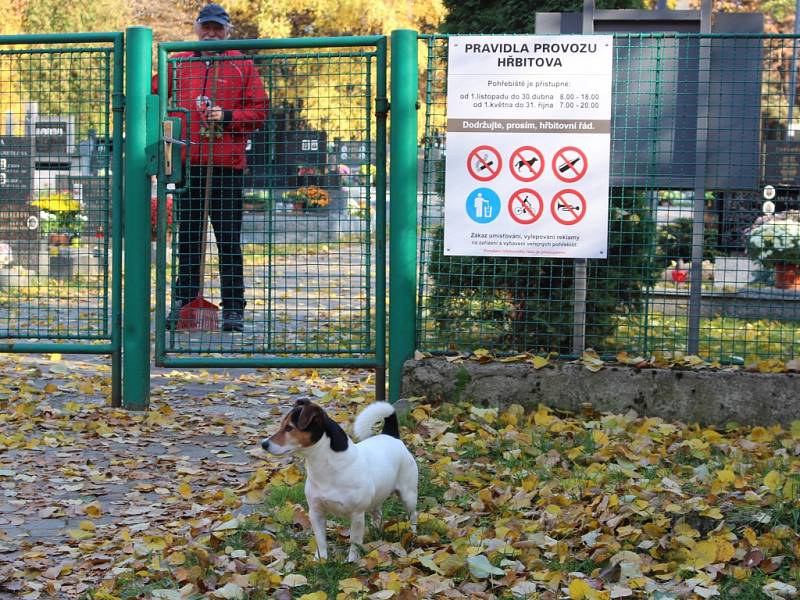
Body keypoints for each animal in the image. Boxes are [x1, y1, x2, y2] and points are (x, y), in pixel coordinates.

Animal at [260, 398, 418, 564]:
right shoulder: (316, 512)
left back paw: (413, 535)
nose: (263, 444)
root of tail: (392, 436)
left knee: (413, 515)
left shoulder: (357, 515)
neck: (328, 467)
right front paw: (321, 559)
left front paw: (351, 561)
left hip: (408, 495)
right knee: (377, 514)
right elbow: (321, 540)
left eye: (289, 428)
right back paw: (376, 531)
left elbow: (354, 541)